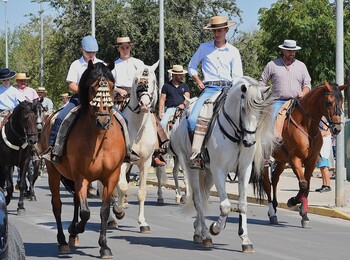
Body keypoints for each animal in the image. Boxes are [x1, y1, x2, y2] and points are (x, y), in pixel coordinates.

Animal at [39, 61, 126, 258]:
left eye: (111, 86)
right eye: (93, 88)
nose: (103, 122)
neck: (99, 138)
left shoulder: (111, 176)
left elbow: (103, 210)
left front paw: (104, 247)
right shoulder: (81, 177)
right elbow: (86, 213)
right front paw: (77, 228)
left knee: (76, 201)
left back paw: (72, 235)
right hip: (53, 172)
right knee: (57, 205)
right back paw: (64, 240)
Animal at [112, 61, 159, 234]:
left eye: (153, 81)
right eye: (136, 80)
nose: (144, 104)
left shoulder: (145, 163)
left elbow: (141, 192)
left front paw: (143, 223)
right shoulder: (121, 163)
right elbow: (123, 186)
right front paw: (118, 211)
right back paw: (112, 218)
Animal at [171, 76, 274, 253]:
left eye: (260, 111)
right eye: (243, 109)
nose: (249, 141)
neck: (237, 135)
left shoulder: (244, 170)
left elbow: (242, 204)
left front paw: (245, 240)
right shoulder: (220, 170)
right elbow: (225, 206)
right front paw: (215, 228)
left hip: (209, 173)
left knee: (204, 197)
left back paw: (198, 231)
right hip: (192, 167)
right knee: (198, 199)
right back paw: (206, 235)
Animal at [262, 80, 344, 228]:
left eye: (341, 101)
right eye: (329, 102)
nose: (337, 128)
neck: (306, 126)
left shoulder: (311, 161)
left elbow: (307, 186)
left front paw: (304, 215)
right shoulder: (295, 159)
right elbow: (303, 184)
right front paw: (292, 201)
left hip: (282, 160)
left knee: (275, 178)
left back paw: (275, 206)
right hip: (264, 159)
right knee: (267, 182)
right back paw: (272, 212)